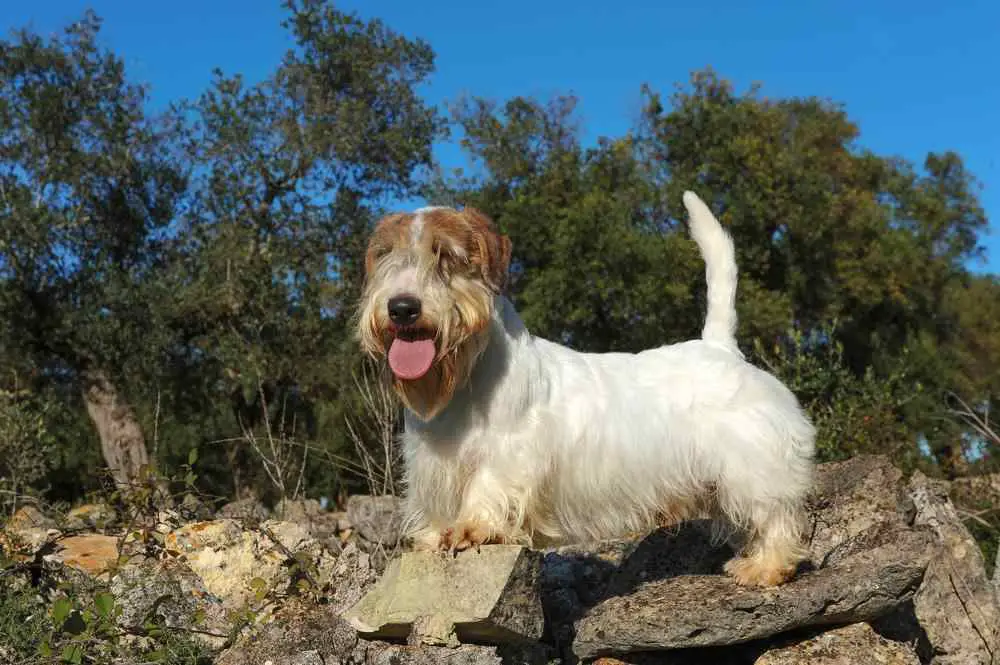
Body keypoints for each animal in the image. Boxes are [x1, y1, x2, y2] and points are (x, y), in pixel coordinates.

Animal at [356, 192, 816, 588]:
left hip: (752, 465)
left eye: (446, 255)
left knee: (776, 514)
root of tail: (719, 346)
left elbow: (488, 487)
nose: (401, 308)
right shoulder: (431, 463)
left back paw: (765, 567)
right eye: (386, 256)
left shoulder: (508, 452)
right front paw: (435, 535)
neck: (463, 379)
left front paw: (473, 528)